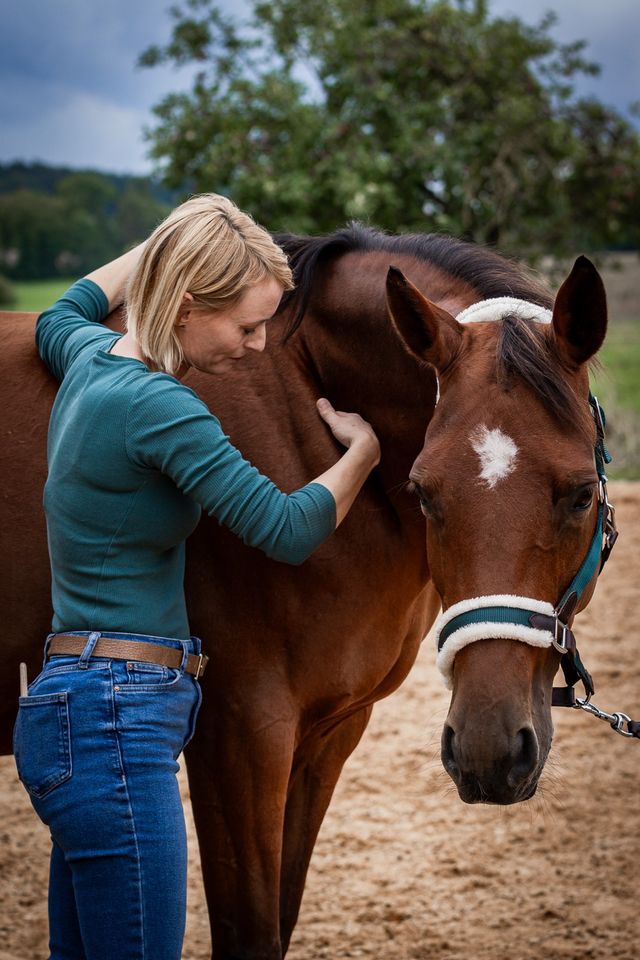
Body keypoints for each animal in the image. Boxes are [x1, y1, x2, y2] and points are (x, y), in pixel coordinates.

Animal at [0, 227, 608, 960]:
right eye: (425, 492)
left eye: (581, 494)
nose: (489, 751)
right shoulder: (239, 737)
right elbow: (249, 931)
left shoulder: (328, 734)